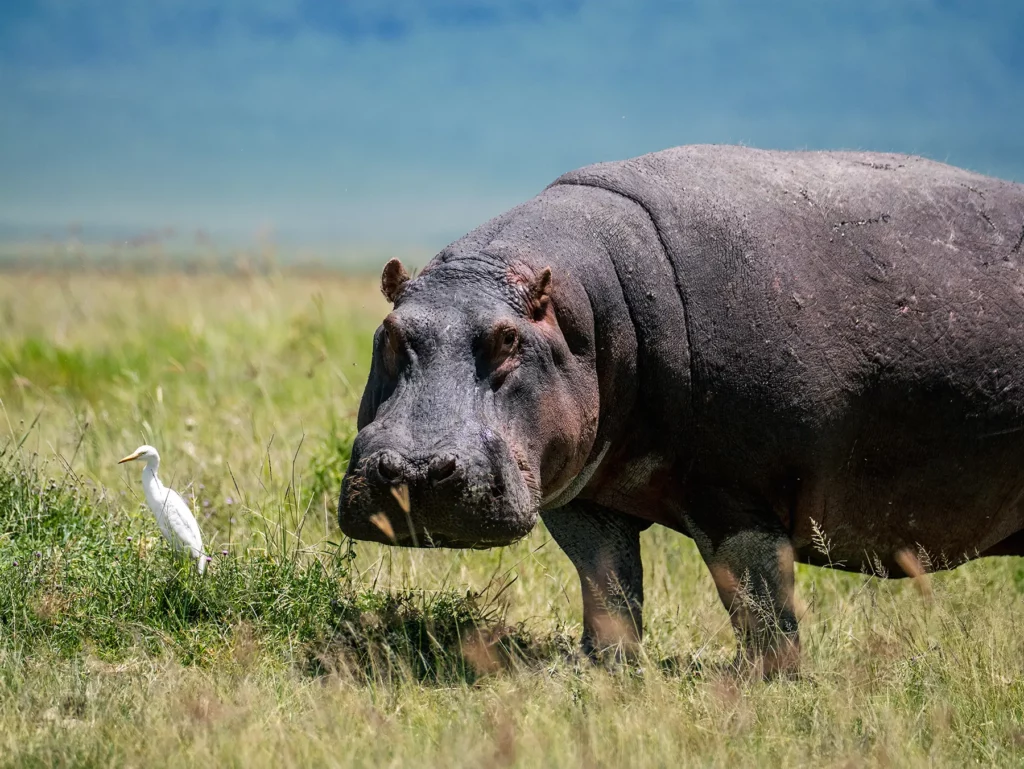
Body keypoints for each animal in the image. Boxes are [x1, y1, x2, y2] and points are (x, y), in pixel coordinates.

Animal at [339, 144, 1024, 675]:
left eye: (508, 339)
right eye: (389, 332)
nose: (416, 470)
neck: (590, 311)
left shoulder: (735, 492)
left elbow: (756, 595)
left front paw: (768, 682)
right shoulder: (586, 497)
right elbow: (608, 584)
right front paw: (601, 667)